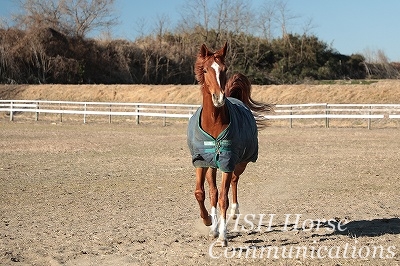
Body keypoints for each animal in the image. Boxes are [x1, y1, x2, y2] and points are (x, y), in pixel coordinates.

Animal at [187, 42, 272, 246]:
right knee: (213, 192)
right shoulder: (201, 161)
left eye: (224, 69)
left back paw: (234, 212)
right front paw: (208, 221)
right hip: (212, 166)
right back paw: (213, 226)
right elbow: (201, 193)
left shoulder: (227, 161)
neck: (214, 123)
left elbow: (223, 199)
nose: (219, 98)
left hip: (240, 162)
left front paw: (223, 236)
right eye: (205, 70)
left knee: (234, 180)